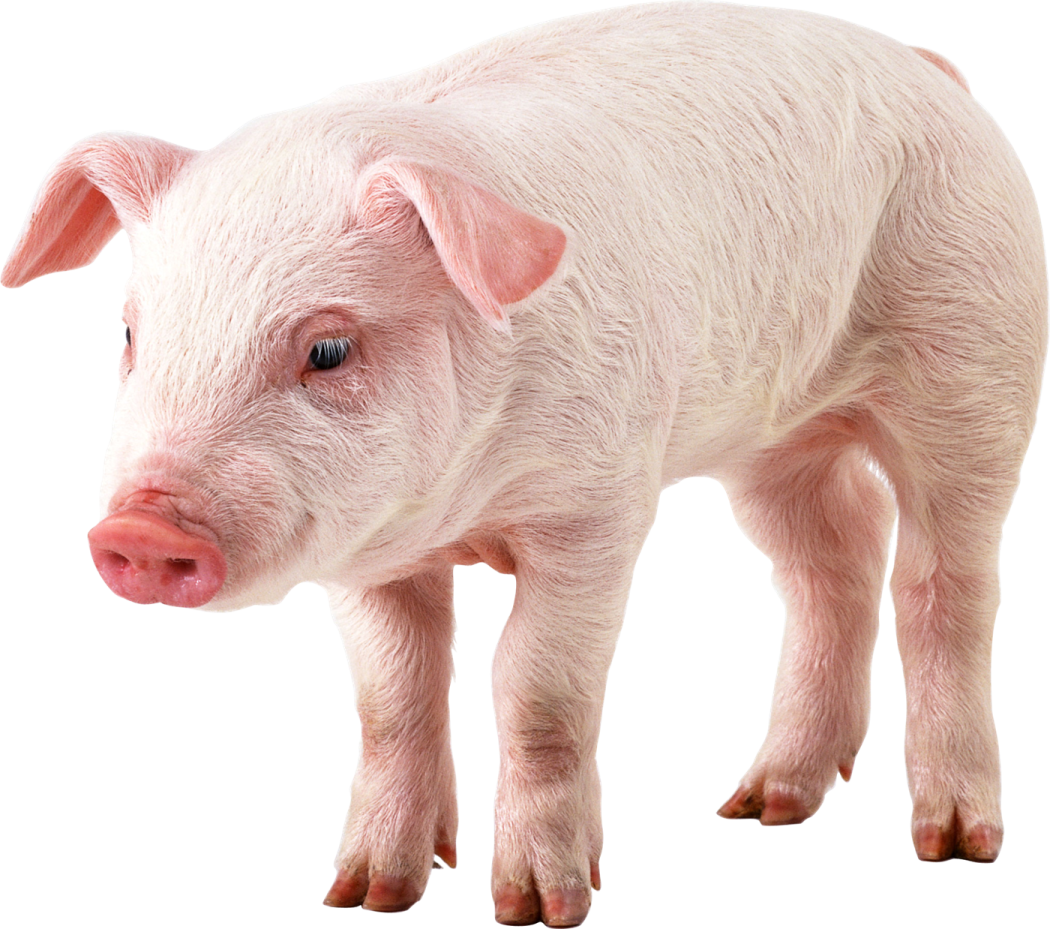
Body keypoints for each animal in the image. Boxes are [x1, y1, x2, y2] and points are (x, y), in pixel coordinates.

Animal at [3, 1, 1045, 922]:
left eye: (329, 349)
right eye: (131, 333)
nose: (141, 528)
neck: (465, 504)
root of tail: (930, 69)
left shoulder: (597, 508)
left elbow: (535, 687)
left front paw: (542, 910)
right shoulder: (368, 548)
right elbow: (390, 696)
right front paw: (368, 896)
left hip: (980, 365)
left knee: (945, 582)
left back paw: (955, 841)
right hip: (774, 439)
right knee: (836, 554)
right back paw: (762, 806)